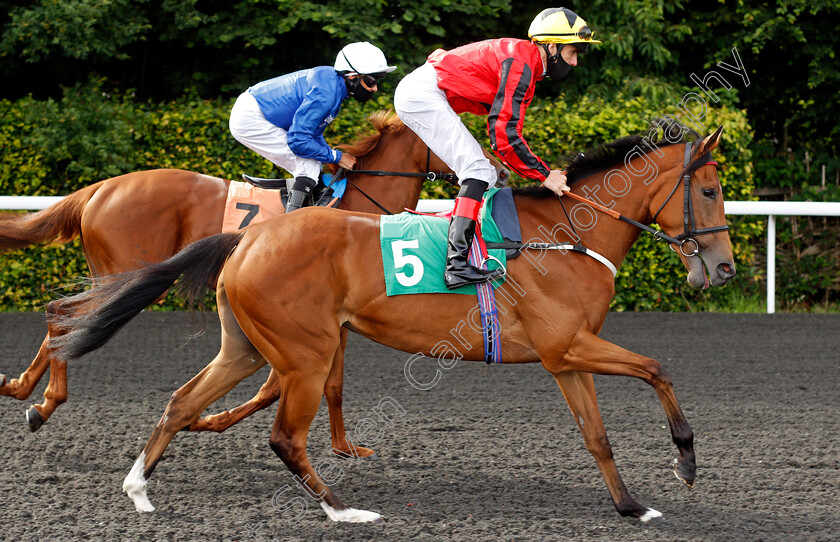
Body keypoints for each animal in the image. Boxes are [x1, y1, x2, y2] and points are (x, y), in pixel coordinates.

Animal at [0, 109, 506, 460]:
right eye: (458, 135)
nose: (496, 170)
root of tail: (100, 188)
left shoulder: (335, 319)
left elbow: (327, 385)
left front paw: (345, 448)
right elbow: (292, 387)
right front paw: (206, 421)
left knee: (64, 317)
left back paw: (24, 393)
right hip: (123, 273)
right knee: (65, 314)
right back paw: (43, 401)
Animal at [47, 127, 736, 524]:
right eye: (708, 191)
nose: (725, 267)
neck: (564, 237)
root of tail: (251, 239)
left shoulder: (565, 357)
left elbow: (598, 436)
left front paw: (631, 506)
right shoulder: (569, 344)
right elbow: (657, 368)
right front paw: (685, 461)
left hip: (245, 346)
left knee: (182, 400)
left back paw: (139, 487)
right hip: (304, 351)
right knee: (283, 435)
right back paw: (342, 511)